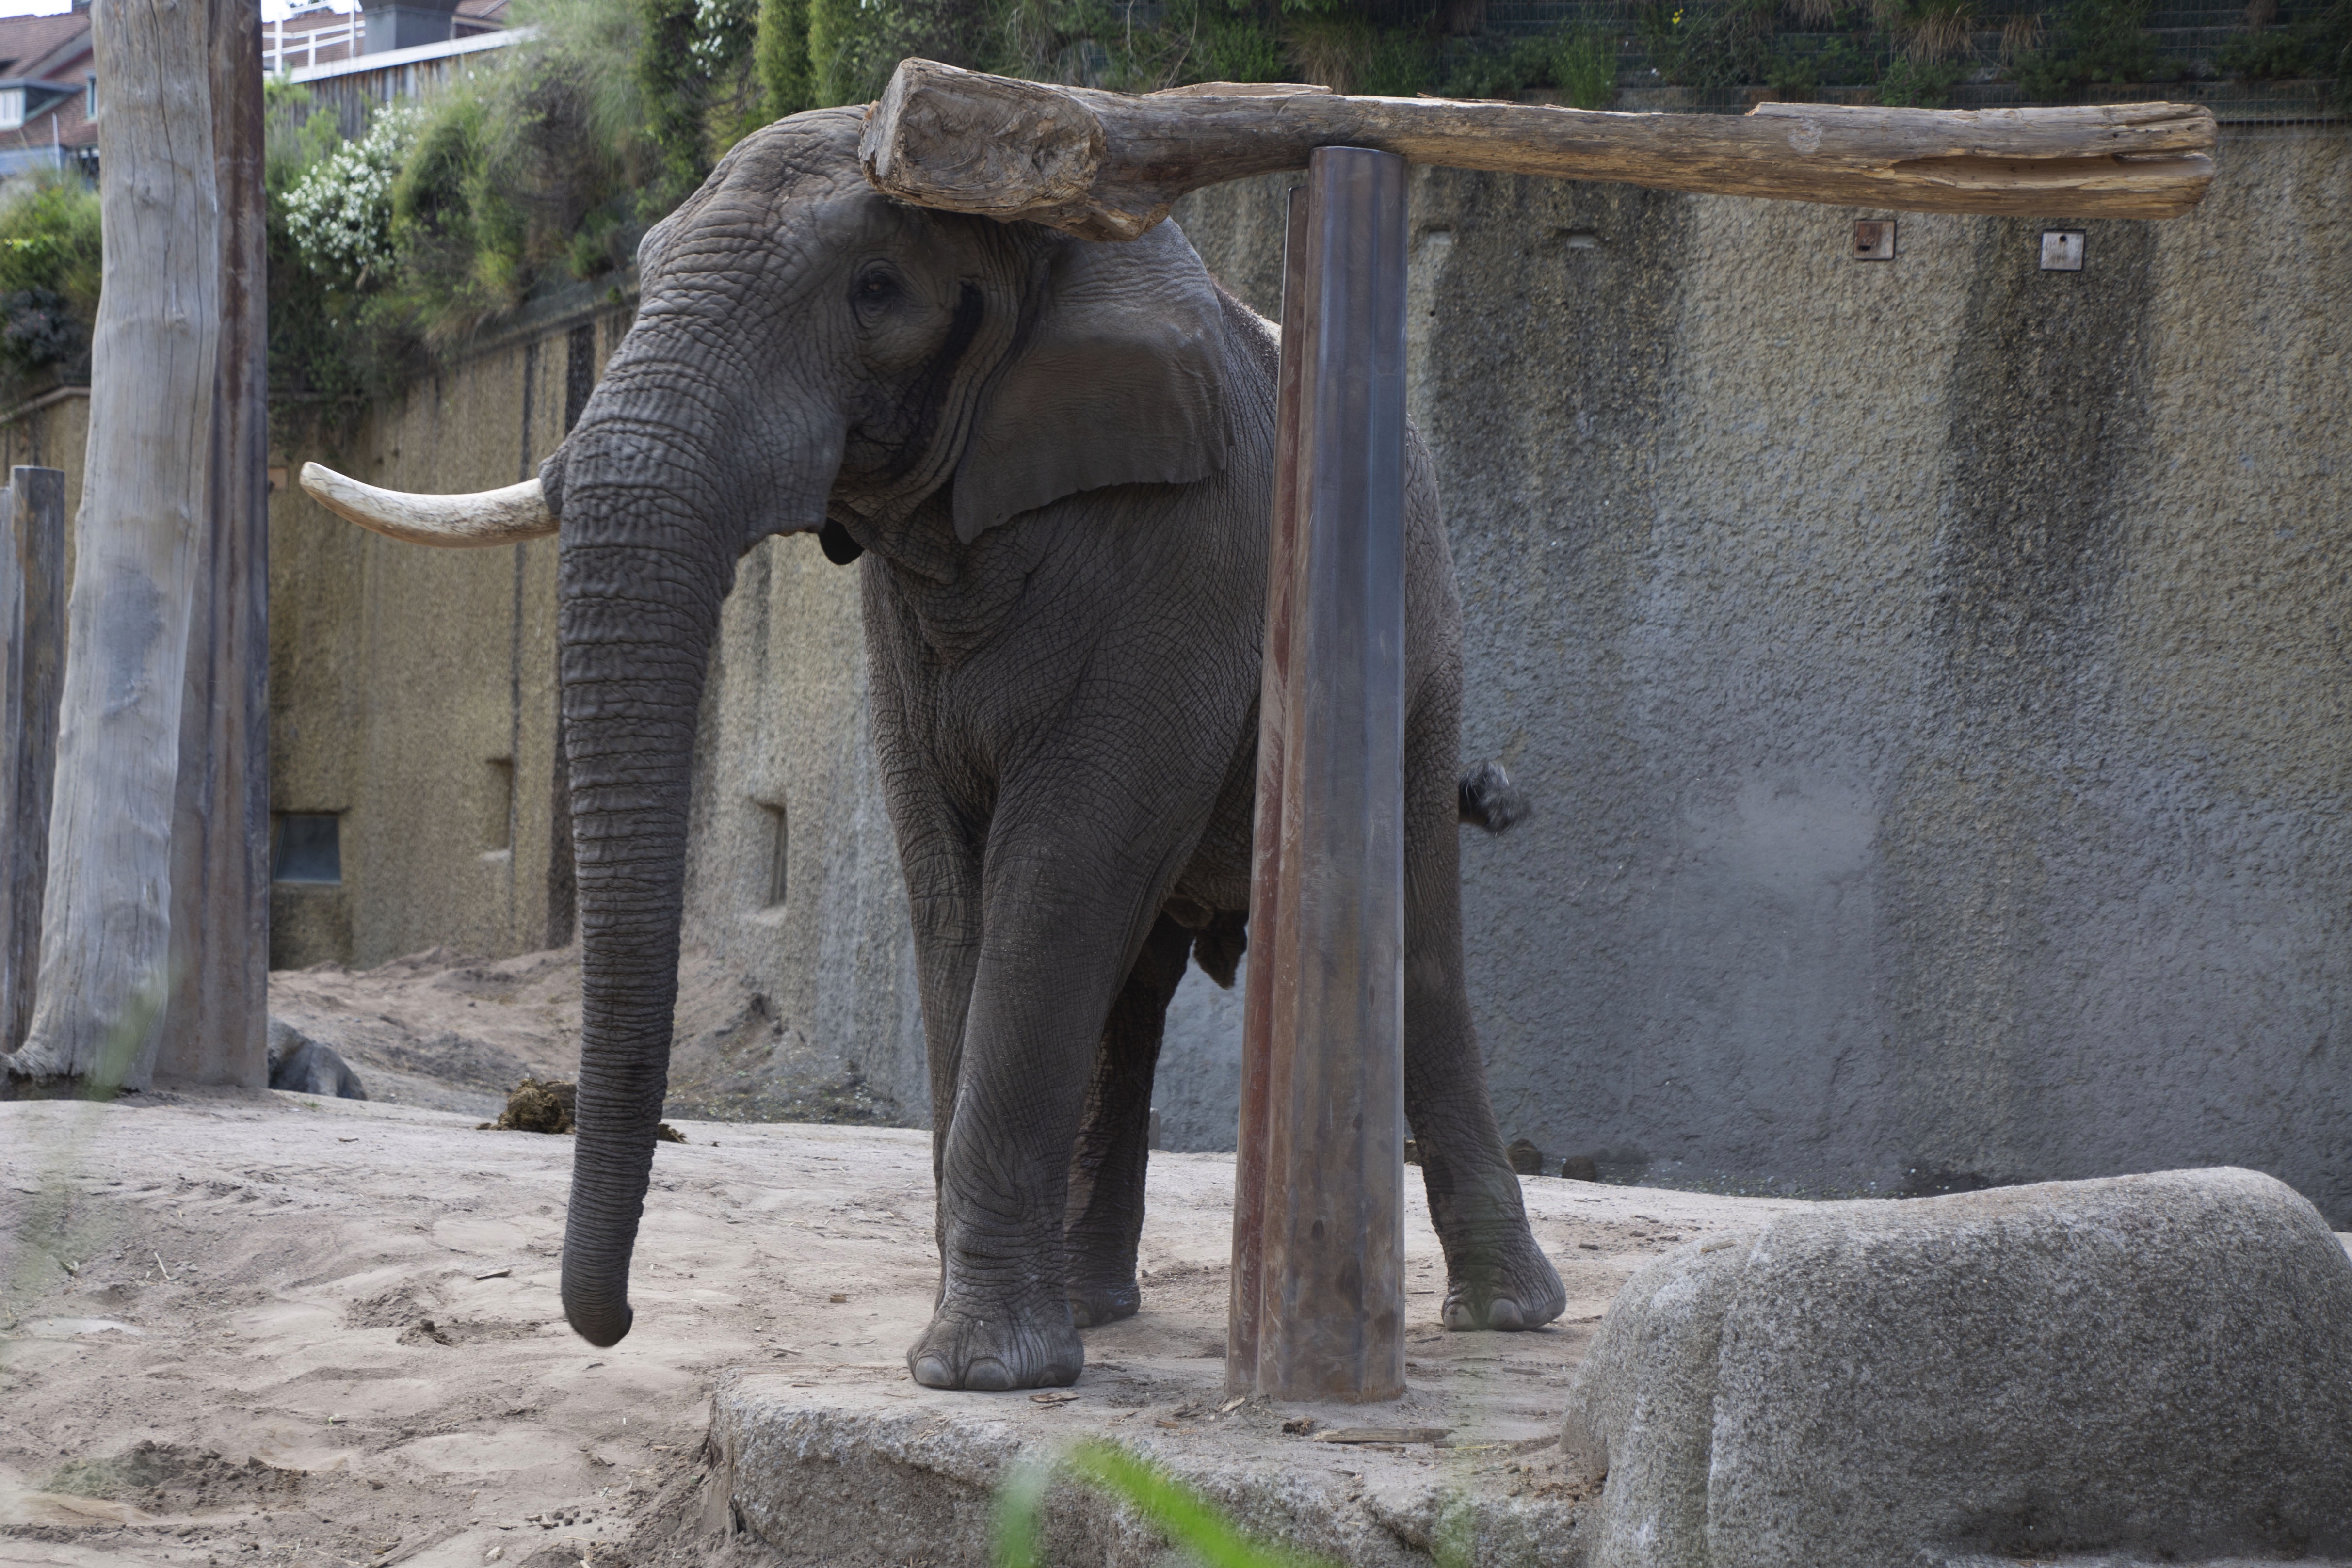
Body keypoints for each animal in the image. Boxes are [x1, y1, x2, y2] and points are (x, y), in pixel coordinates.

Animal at [303, 106, 1566, 1391]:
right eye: (643, 276)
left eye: (875, 289)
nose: (612, 1323)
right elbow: (954, 887)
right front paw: (999, 1352)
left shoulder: (1182, 559)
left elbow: (1059, 868)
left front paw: (977, 1373)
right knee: (1137, 980)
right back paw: (1098, 1307)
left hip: (1420, 648)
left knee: (1413, 936)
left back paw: (1505, 1314)